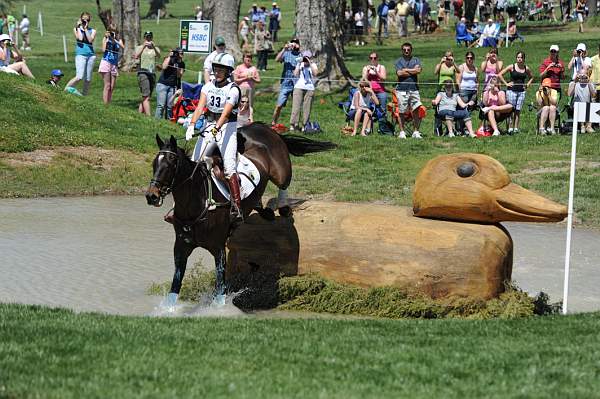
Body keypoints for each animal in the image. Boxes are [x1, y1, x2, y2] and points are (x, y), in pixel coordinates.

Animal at [144, 123, 336, 308]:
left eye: (170, 164)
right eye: (154, 164)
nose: (151, 196)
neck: (197, 202)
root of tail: (264, 127)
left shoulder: (218, 248)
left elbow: (220, 289)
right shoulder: (181, 248)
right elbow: (174, 289)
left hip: (281, 170)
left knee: (283, 182)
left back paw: (283, 208)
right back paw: (265, 211)